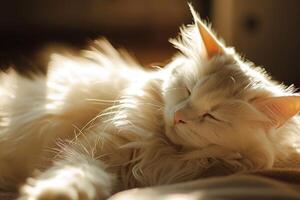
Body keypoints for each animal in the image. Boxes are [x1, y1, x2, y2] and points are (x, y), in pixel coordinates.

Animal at [0, 4, 298, 200]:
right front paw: (55, 193)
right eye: (187, 91)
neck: (160, 151)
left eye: (212, 116)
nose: (179, 116)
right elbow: (77, 173)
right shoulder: (92, 148)